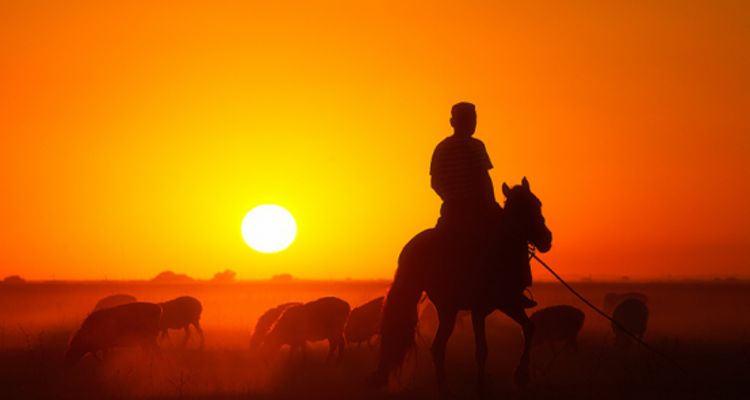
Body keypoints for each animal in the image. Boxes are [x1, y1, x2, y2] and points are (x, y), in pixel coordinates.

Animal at [374, 179, 556, 396]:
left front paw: (521, 374)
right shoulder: (479, 310)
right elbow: (482, 350)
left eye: (538, 204)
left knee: (437, 348)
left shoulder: (508, 303)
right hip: (449, 308)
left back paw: (444, 391)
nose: (546, 239)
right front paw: (481, 390)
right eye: (522, 208)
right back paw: (445, 391)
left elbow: (529, 327)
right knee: (438, 347)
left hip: (447, 310)